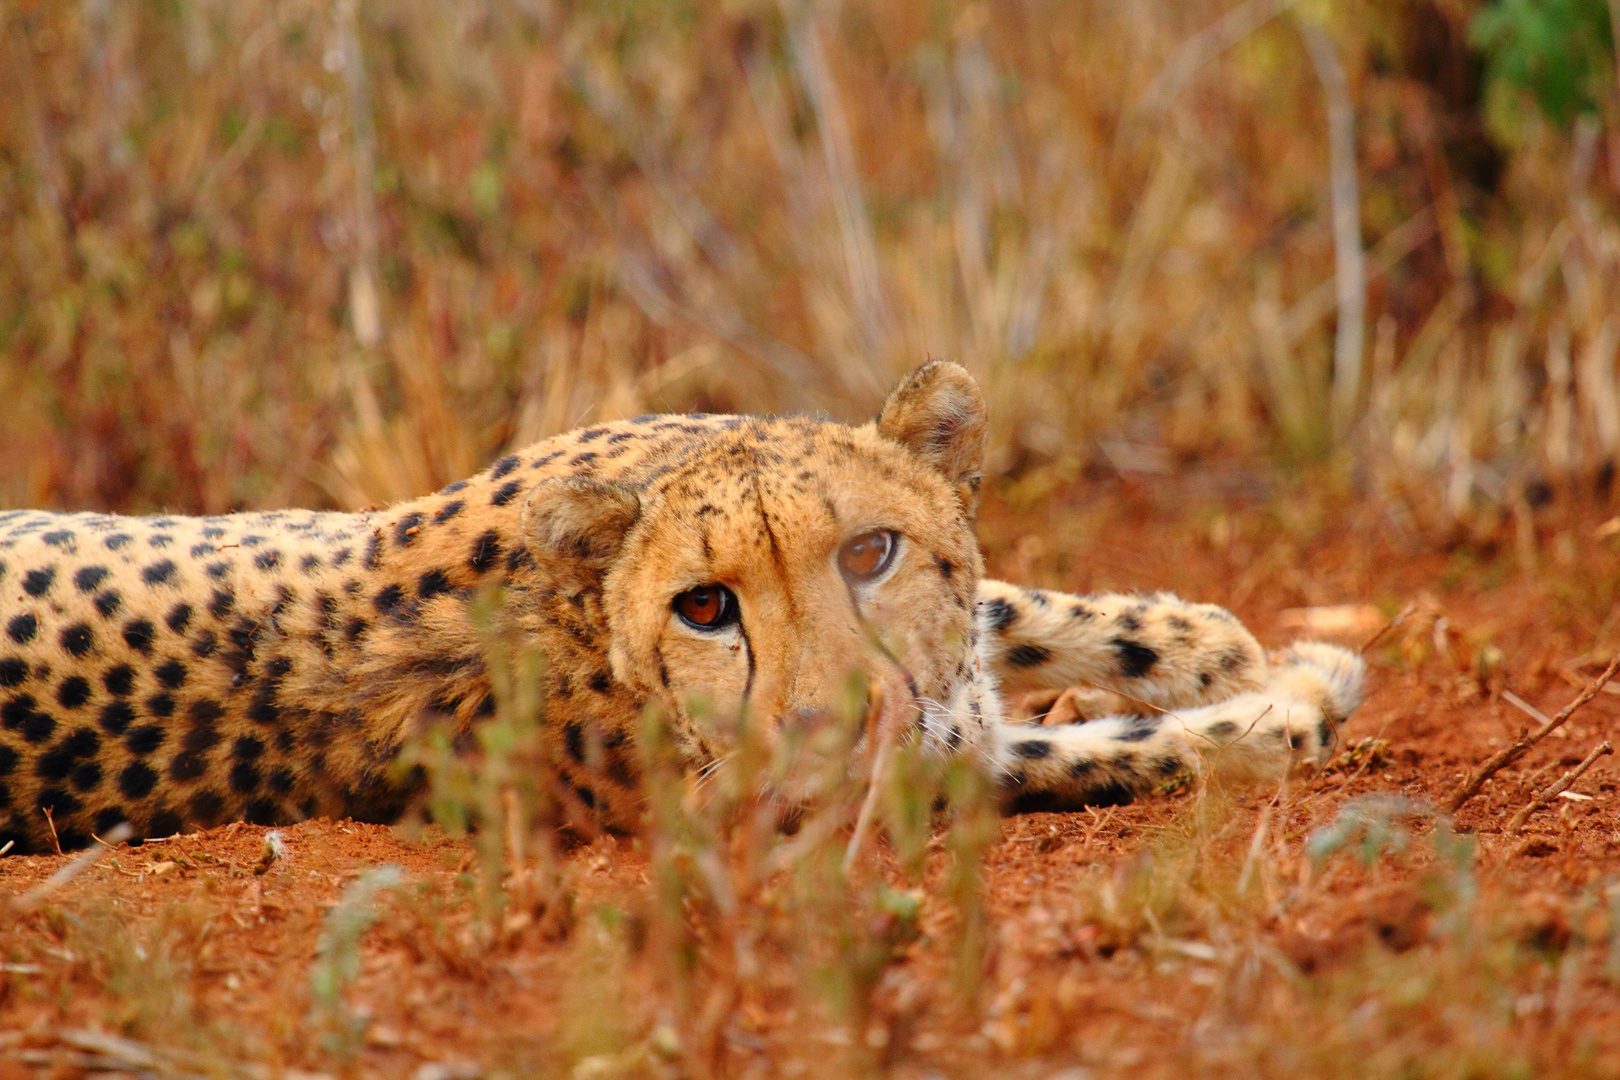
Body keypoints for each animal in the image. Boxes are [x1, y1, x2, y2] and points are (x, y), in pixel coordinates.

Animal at [0, 362, 1360, 854]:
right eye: (706, 607)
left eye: (870, 551)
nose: (830, 726)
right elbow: (1085, 749)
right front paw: (1278, 698)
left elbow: (996, 611)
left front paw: (1203, 645)